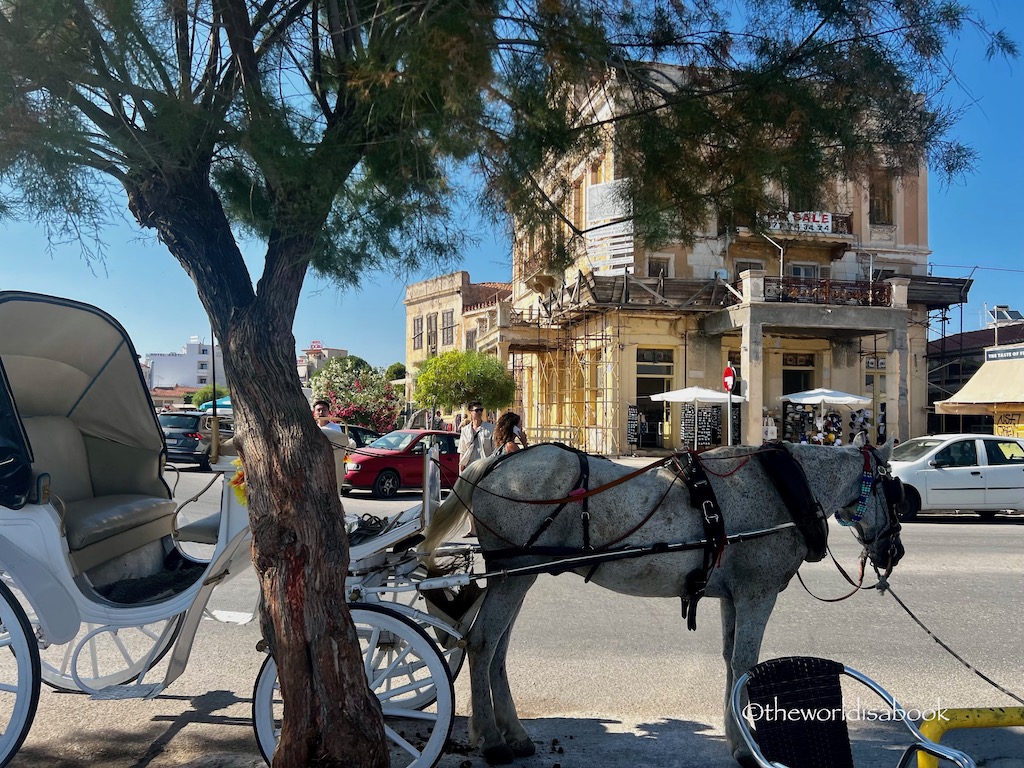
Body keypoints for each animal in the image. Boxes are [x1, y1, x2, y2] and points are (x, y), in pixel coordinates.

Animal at [421, 436, 905, 765]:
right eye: (896, 491)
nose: (895, 552)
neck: (785, 488)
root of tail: (495, 463)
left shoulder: (733, 595)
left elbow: (730, 660)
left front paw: (735, 735)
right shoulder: (757, 592)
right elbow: (745, 665)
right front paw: (745, 748)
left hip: (517, 577)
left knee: (498, 649)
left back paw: (514, 733)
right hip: (511, 578)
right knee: (482, 643)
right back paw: (491, 739)